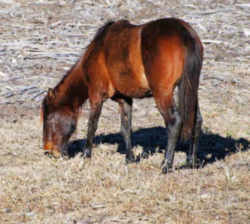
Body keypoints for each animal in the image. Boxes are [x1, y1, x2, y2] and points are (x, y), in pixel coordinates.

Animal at [41, 18, 203, 174]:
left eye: (48, 119)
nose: (48, 151)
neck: (98, 50)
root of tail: (184, 33)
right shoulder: (124, 99)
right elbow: (125, 128)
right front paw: (129, 158)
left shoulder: (96, 95)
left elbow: (92, 125)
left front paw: (86, 155)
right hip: (191, 89)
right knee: (196, 120)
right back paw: (191, 162)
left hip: (162, 93)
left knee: (174, 122)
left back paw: (166, 165)